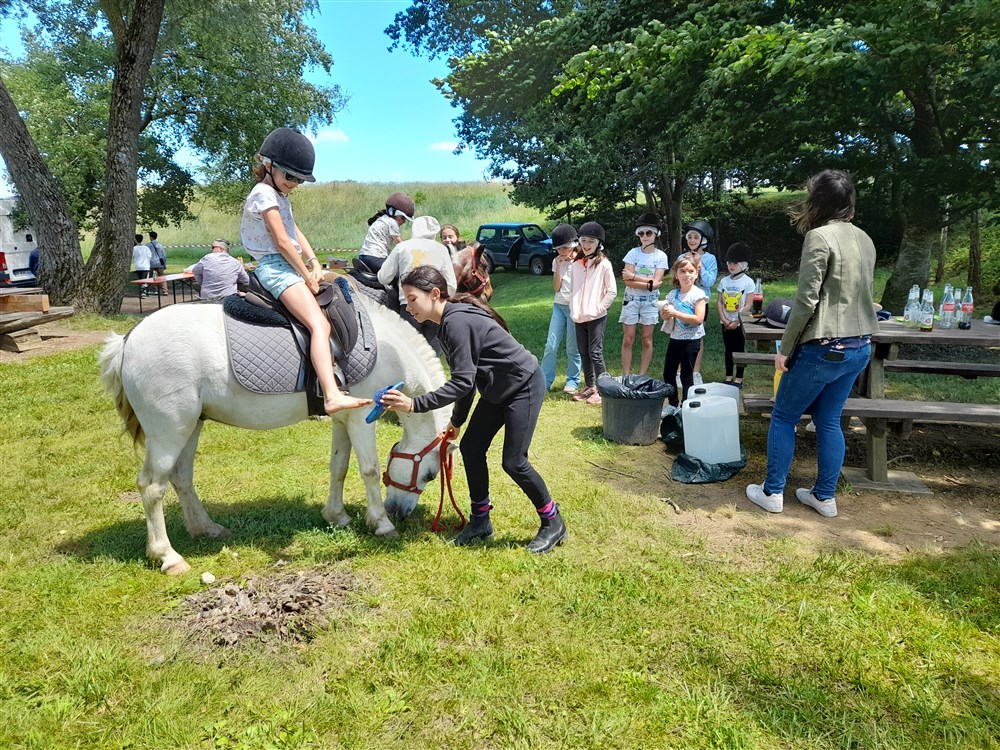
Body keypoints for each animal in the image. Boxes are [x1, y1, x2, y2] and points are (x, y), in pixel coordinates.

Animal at [98, 296, 455, 575]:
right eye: (430, 474)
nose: (400, 512)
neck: (388, 349)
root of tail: (128, 340)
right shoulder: (360, 420)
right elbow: (368, 470)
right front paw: (381, 523)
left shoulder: (343, 420)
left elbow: (338, 467)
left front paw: (337, 515)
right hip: (169, 431)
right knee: (152, 488)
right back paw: (168, 556)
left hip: (191, 426)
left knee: (181, 477)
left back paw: (206, 528)